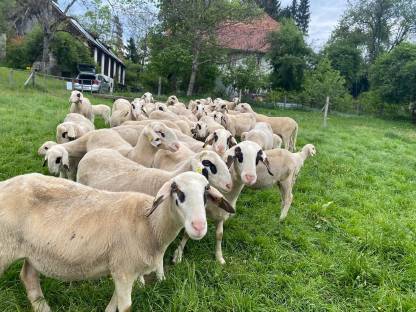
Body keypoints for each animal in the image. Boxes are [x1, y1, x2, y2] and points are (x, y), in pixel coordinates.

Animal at [0, 172, 234, 312]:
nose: (198, 226)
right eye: (177, 190)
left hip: (33, 251)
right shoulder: (125, 269)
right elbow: (125, 307)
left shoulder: (121, 270)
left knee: (29, 278)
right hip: (4, 248)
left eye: (206, 192)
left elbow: (113, 305)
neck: (150, 224)